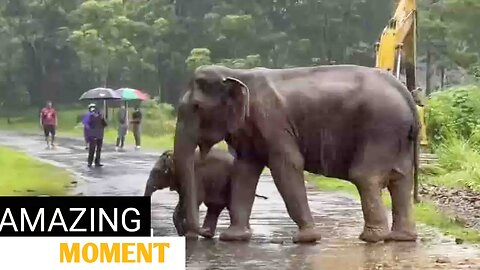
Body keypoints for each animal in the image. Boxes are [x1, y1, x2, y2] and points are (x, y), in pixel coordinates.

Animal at [174, 64, 418, 244]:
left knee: (365, 176)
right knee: (401, 178)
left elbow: (287, 166)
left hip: (381, 129)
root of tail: (406, 93)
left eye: (196, 107)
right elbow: (245, 171)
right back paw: (401, 238)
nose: (206, 233)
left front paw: (306, 239)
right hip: (397, 137)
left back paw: (372, 238)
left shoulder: (273, 123)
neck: (236, 73)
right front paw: (233, 238)